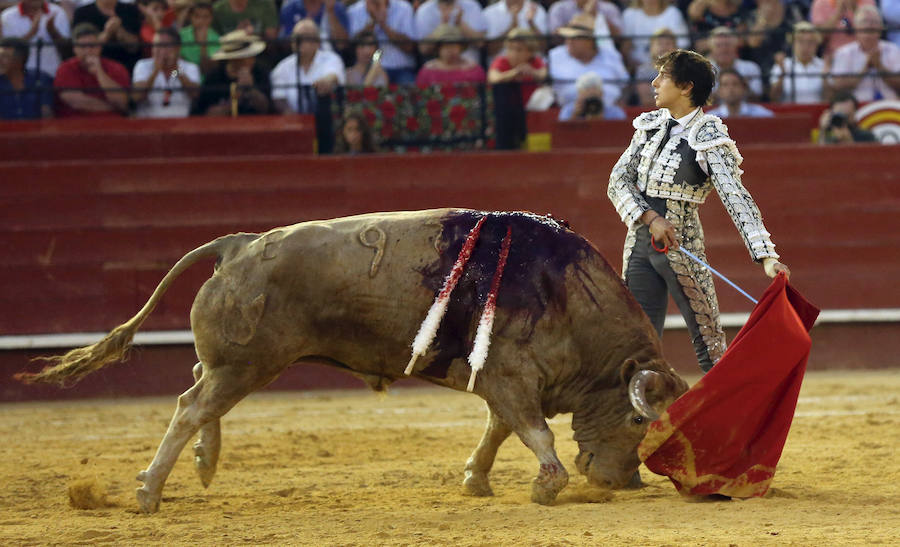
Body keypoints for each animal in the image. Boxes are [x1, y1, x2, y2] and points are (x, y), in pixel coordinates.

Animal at [19, 210, 684, 512]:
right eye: (637, 419)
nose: (618, 480)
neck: (566, 295)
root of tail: (238, 244)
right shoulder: (510, 377)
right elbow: (533, 432)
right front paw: (548, 485)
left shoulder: (502, 381)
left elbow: (498, 430)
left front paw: (477, 480)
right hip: (249, 363)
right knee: (190, 406)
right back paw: (150, 491)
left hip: (237, 362)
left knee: (195, 392)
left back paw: (203, 465)